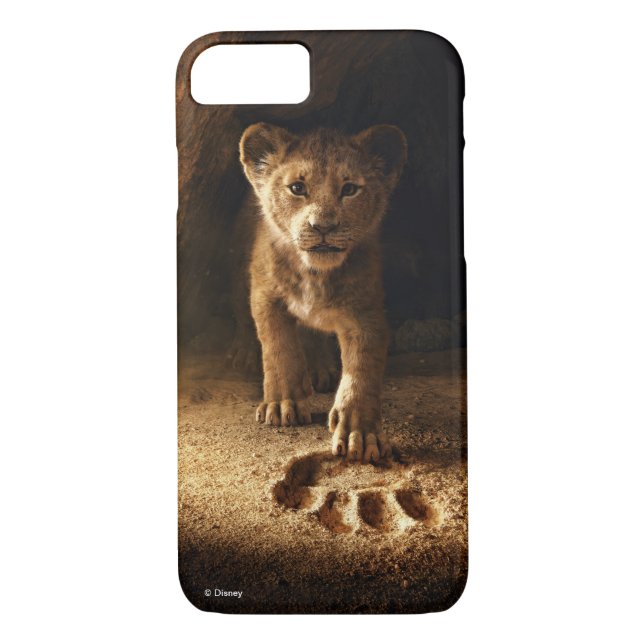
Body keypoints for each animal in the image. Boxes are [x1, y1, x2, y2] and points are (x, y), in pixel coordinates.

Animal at [239, 122, 407, 462]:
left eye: (350, 189)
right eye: (297, 188)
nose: (323, 226)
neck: (314, 274)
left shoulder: (366, 312)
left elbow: (361, 370)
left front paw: (360, 433)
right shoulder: (265, 296)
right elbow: (279, 349)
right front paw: (283, 404)